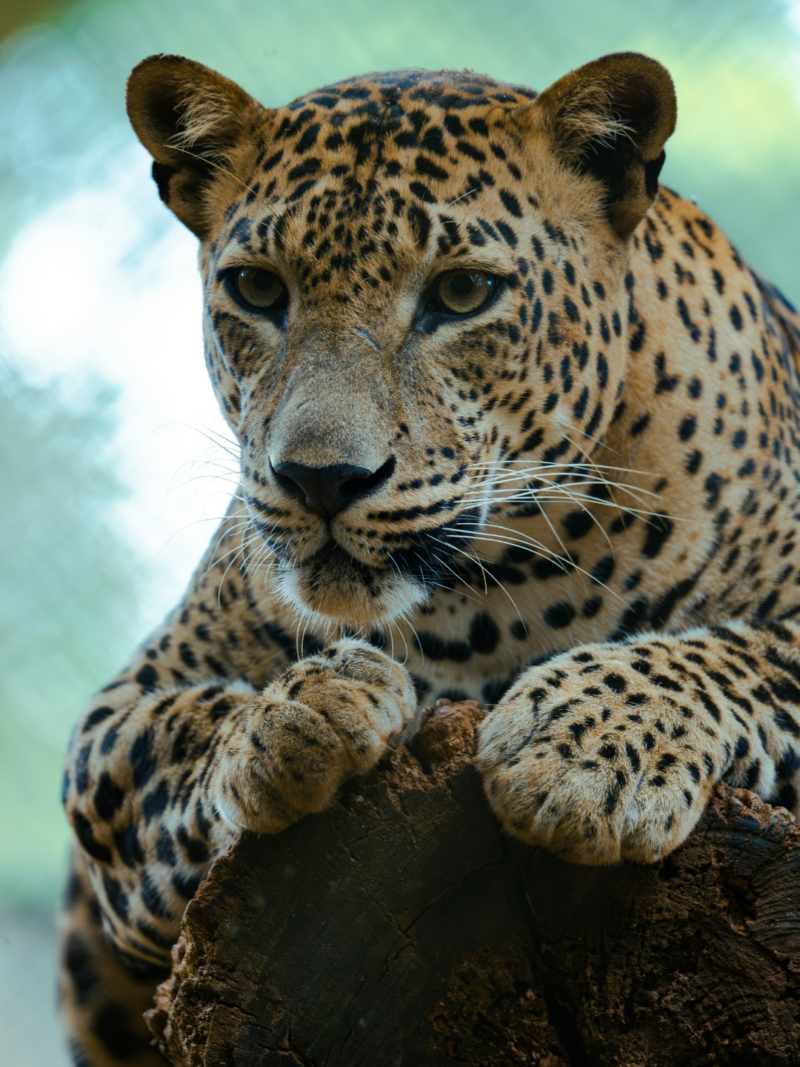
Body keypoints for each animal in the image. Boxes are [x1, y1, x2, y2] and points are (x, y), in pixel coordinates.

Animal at [59, 50, 800, 1066]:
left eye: (461, 295)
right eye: (256, 290)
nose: (321, 479)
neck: (490, 600)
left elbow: (737, 651)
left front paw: (585, 749)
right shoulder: (116, 719)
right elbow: (170, 732)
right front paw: (295, 713)